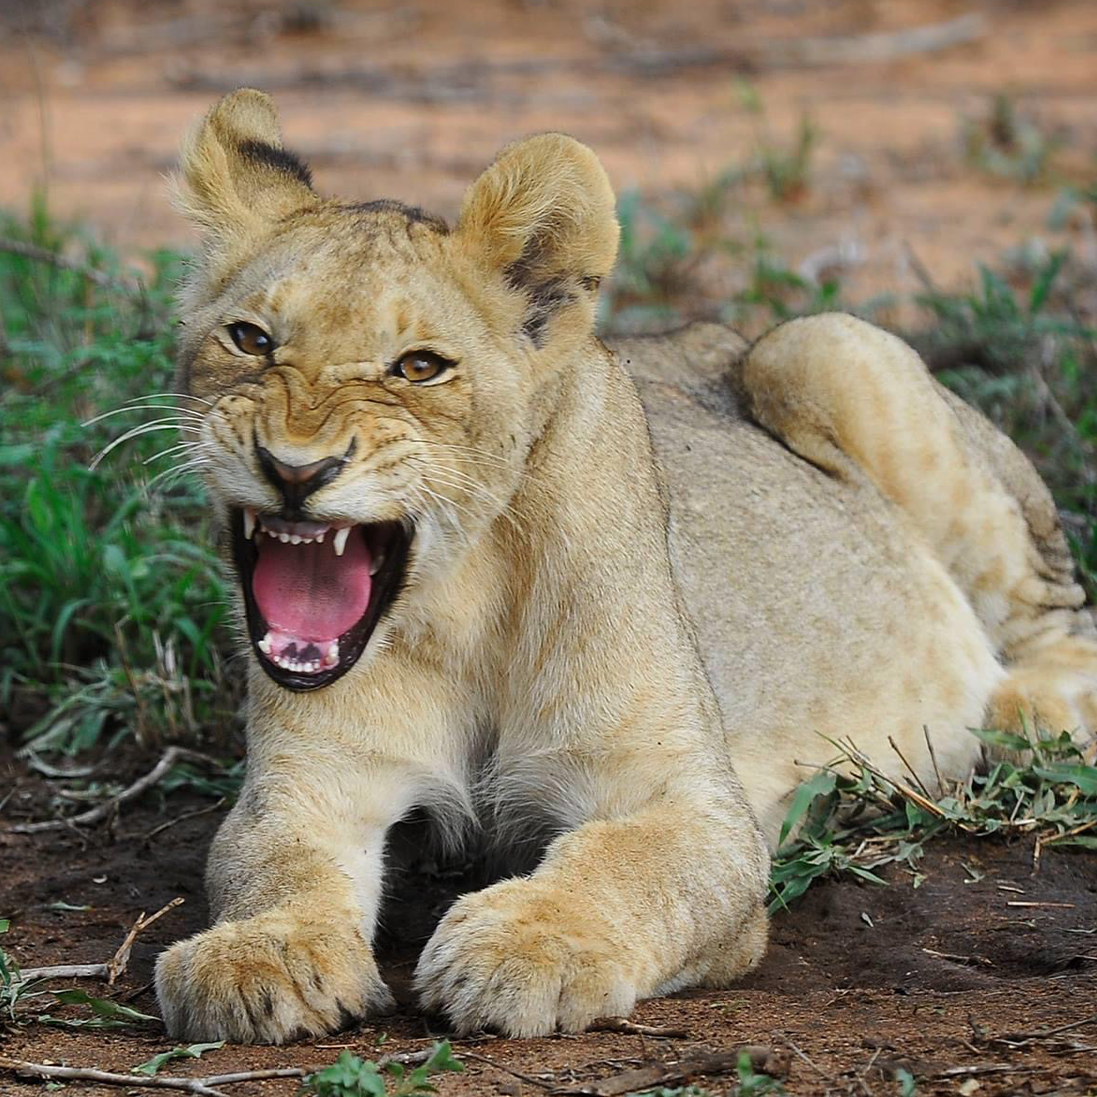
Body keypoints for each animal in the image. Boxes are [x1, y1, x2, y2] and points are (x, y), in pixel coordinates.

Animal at [154, 89, 1097, 1044]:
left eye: (418, 366)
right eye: (250, 338)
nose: (294, 468)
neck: (458, 602)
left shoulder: (688, 803)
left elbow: (619, 863)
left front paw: (525, 946)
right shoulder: (308, 784)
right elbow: (273, 862)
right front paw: (259, 953)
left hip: (823, 344)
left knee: (1056, 616)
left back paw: (1024, 711)